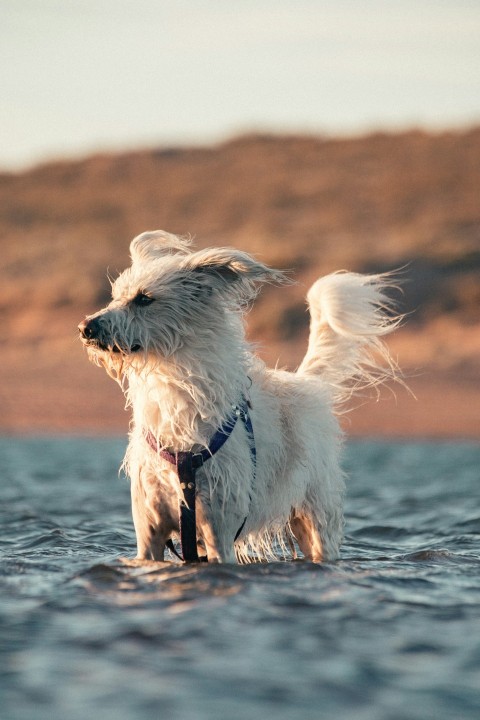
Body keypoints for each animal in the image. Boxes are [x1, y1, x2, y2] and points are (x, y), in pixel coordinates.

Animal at [79, 231, 402, 564]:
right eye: (115, 296)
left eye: (144, 298)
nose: (85, 327)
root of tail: (306, 383)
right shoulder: (149, 536)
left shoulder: (218, 533)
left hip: (316, 519)